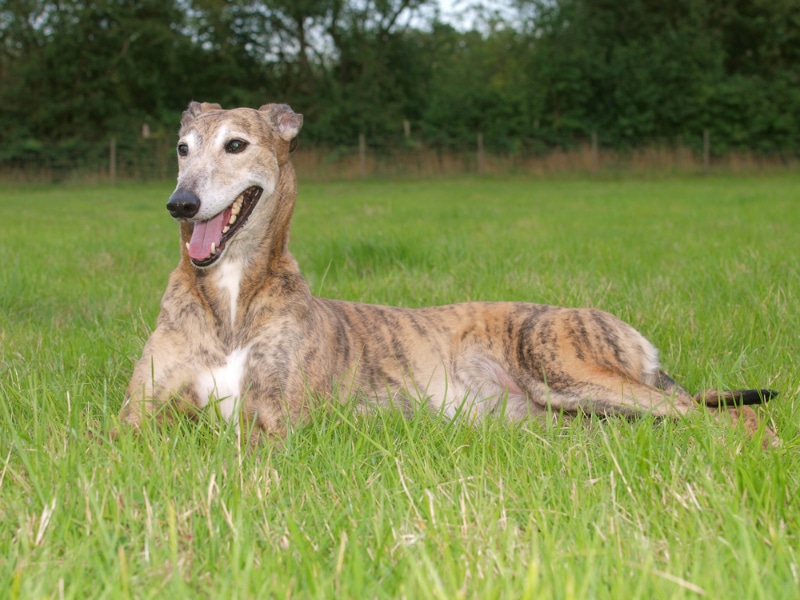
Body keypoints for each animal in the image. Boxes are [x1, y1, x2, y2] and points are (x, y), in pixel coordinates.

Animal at [117, 102, 776, 446]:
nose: (180, 204)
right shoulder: (135, 417)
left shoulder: (279, 418)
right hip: (567, 413)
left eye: (237, 145)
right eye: (182, 147)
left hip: (568, 368)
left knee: (726, 414)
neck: (230, 297)